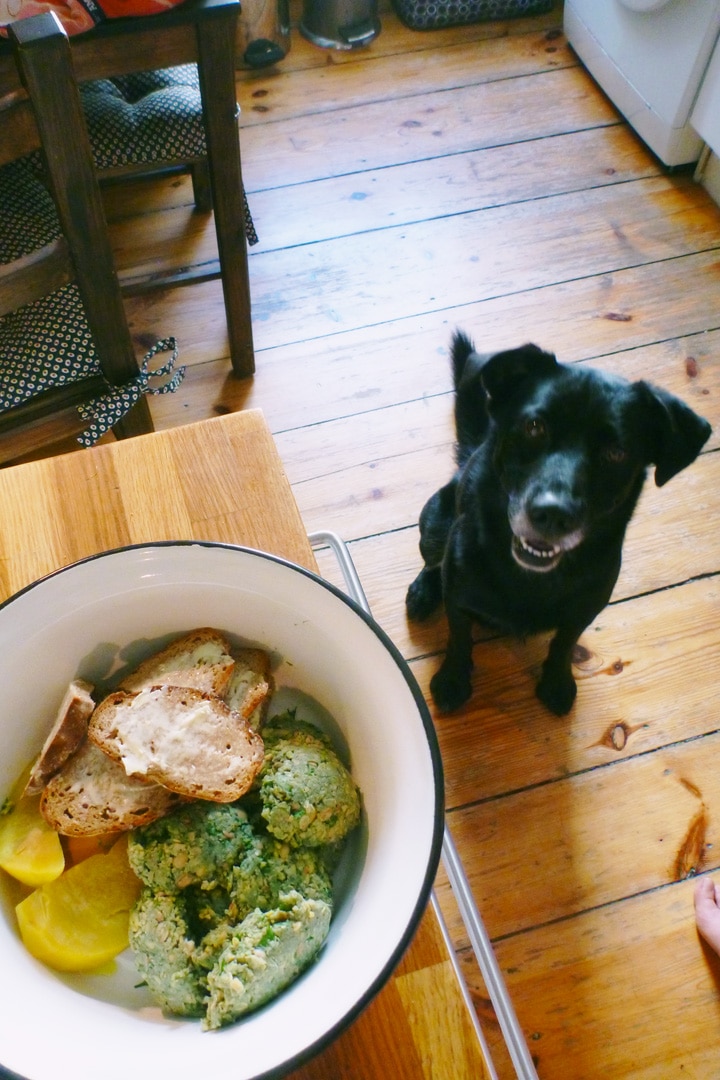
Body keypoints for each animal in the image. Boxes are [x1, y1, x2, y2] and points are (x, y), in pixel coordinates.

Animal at [408, 328, 712, 717]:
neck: (529, 577)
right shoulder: (459, 595)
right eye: (535, 427)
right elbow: (459, 638)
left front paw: (556, 683)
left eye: (617, 452)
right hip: (433, 526)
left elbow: (565, 643)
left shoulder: (586, 607)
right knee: (433, 562)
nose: (553, 513)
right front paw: (452, 680)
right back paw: (423, 591)